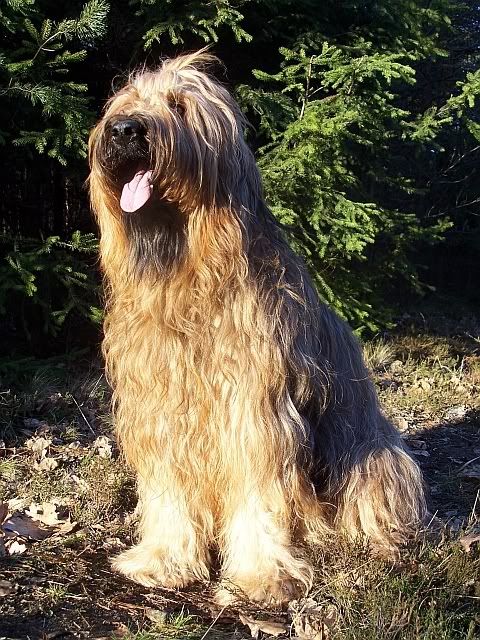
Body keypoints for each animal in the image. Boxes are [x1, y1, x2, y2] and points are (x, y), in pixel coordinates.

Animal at [88, 50, 426, 604]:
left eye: (179, 106)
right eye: (125, 103)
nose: (123, 130)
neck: (189, 271)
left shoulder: (252, 409)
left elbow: (260, 492)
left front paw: (262, 575)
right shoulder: (162, 409)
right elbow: (169, 490)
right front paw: (163, 559)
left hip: (371, 456)